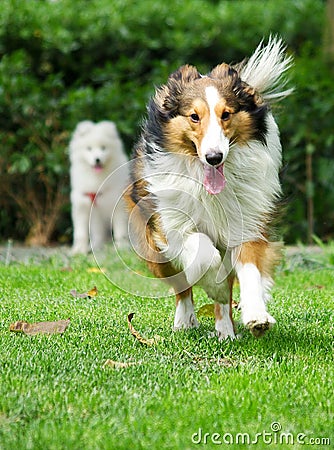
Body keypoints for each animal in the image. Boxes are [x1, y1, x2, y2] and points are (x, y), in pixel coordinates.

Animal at [69, 119, 129, 253]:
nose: (97, 159)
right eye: (89, 148)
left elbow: (120, 231)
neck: (97, 180)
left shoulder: (117, 206)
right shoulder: (82, 206)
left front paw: (122, 248)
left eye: (103, 148)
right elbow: (80, 233)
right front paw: (79, 250)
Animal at [125, 38, 292, 340]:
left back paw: (226, 330)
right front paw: (212, 284)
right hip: (153, 249)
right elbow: (203, 254)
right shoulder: (172, 225)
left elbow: (249, 269)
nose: (214, 157)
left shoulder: (248, 221)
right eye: (194, 116)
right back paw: (185, 320)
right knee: (181, 285)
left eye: (226, 114)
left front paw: (256, 314)